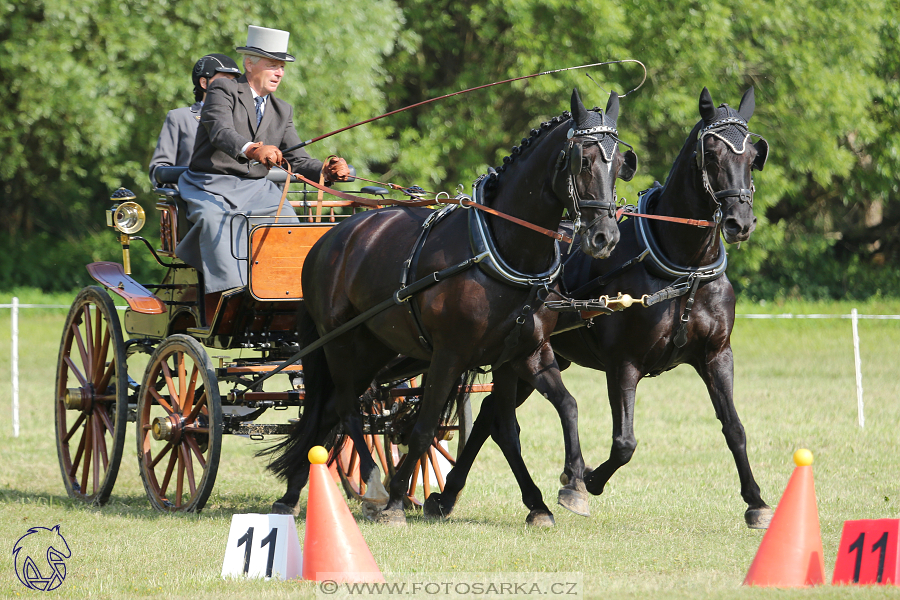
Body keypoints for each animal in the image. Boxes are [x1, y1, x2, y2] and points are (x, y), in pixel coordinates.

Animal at [264, 89, 636, 524]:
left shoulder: (524, 355)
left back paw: (291, 496)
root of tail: (326, 240)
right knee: (347, 408)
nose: (605, 237)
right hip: (340, 344)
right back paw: (373, 486)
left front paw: (564, 489)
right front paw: (397, 499)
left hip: (374, 349)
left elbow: (553, 412)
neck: (500, 250)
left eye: (620, 163)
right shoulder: (449, 354)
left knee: (326, 413)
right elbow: (424, 428)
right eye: (583, 159)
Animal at [424, 86, 772, 528]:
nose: (739, 222)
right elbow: (624, 442)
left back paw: (449, 495)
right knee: (496, 418)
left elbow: (734, 428)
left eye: (753, 156)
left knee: (489, 415)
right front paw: (585, 481)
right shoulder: (624, 363)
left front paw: (756, 502)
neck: (684, 267)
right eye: (710, 154)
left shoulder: (716, 355)